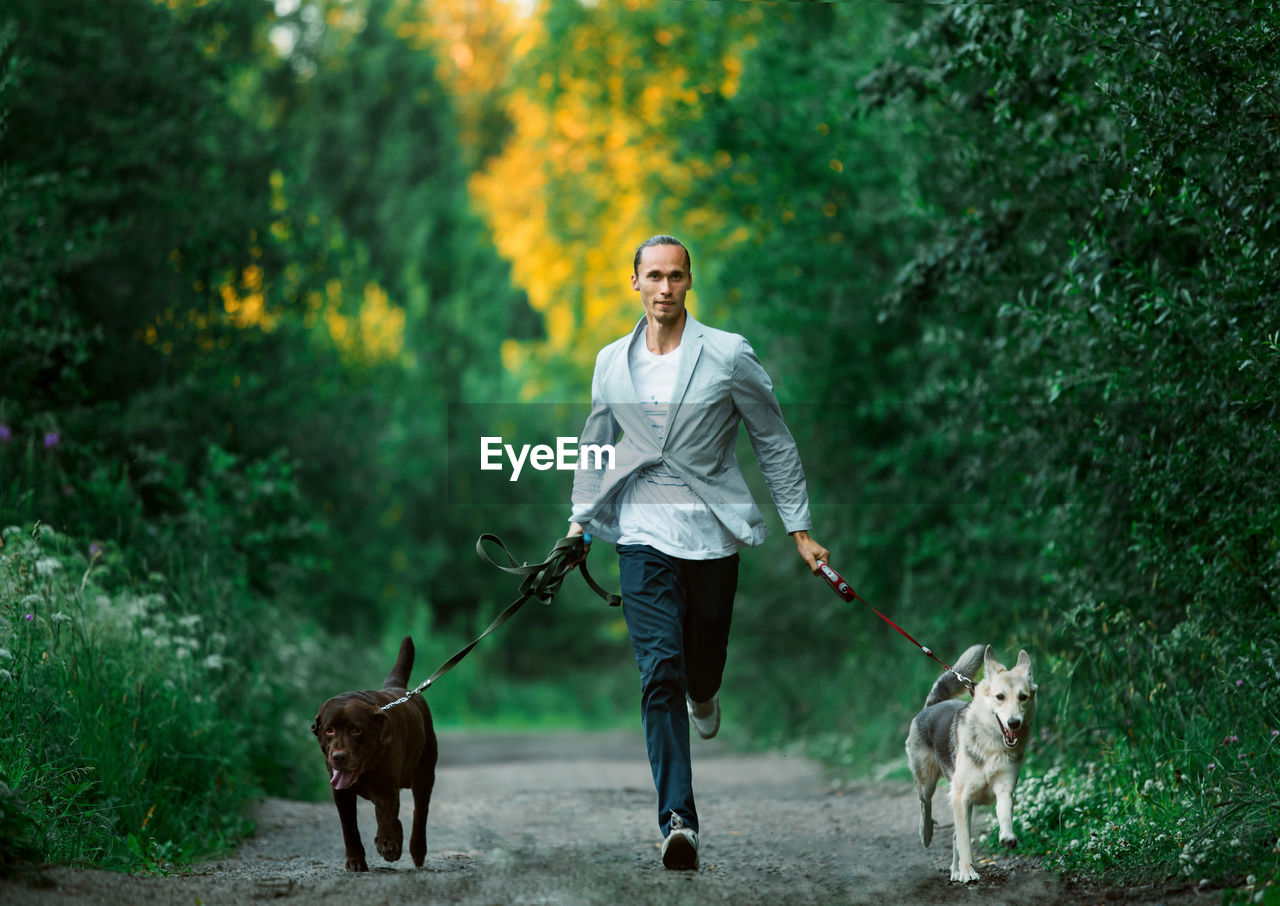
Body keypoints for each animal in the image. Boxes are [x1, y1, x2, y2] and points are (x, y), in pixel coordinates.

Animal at [309, 637, 435, 870]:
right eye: (329, 729)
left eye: (356, 729)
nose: (339, 756)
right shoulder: (341, 794)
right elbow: (350, 828)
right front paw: (356, 860)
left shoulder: (386, 788)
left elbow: (386, 816)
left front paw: (387, 844)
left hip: (425, 774)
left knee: (419, 812)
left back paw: (416, 849)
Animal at [906, 644, 1034, 885]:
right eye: (1000, 697)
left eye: (1023, 697)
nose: (1014, 723)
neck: (992, 744)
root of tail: (933, 705)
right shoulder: (961, 797)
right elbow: (965, 840)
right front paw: (968, 871)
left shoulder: (1003, 788)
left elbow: (1004, 813)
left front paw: (1007, 836)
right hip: (928, 783)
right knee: (925, 805)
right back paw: (927, 833)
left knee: (955, 834)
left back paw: (955, 870)